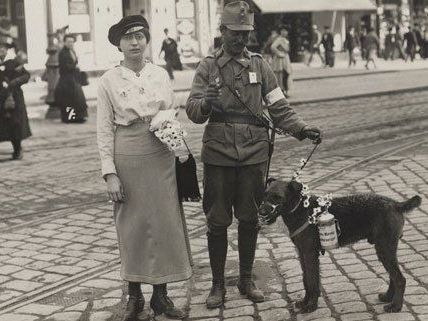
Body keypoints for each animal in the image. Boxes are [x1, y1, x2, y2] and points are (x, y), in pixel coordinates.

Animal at [258, 180, 422, 312]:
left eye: (278, 197)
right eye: (265, 194)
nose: (261, 212)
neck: (301, 210)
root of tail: (396, 204)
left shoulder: (310, 254)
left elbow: (312, 281)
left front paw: (311, 306)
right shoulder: (302, 253)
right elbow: (306, 280)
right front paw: (305, 302)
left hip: (384, 249)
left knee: (399, 278)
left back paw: (396, 306)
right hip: (386, 250)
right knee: (393, 276)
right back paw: (388, 297)